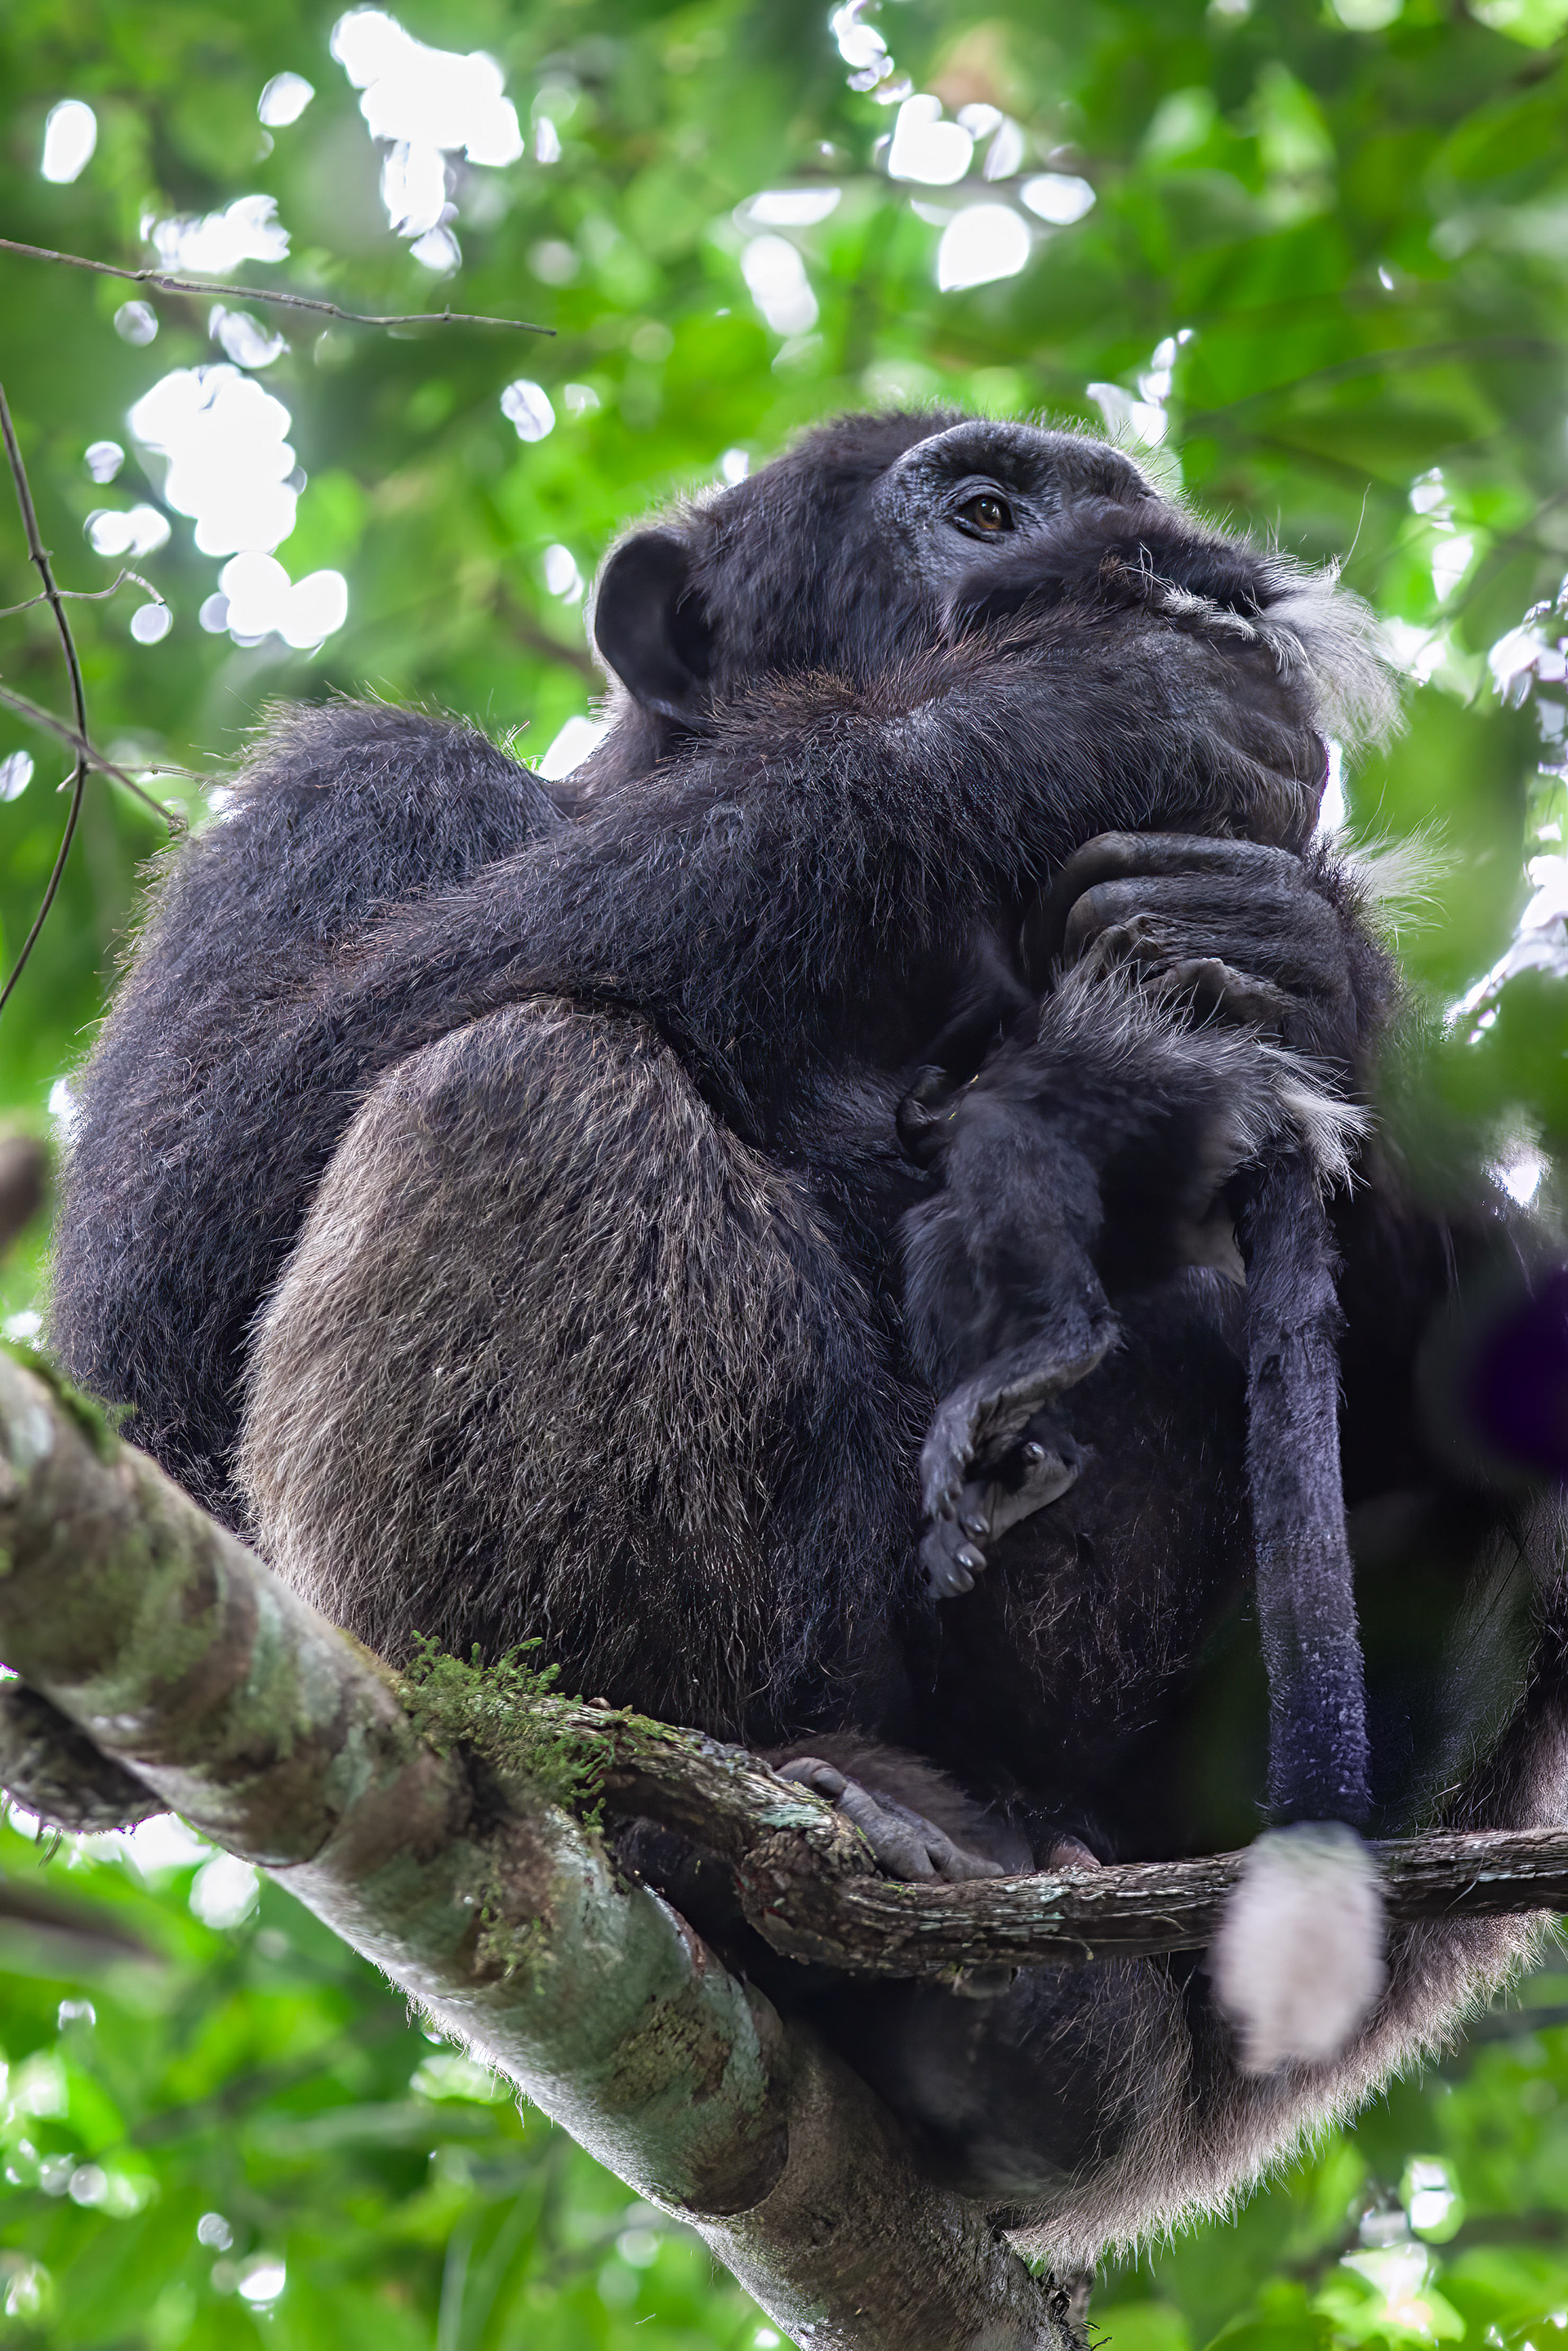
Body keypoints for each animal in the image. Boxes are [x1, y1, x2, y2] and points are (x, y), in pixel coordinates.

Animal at [44, 411, 1567, 2267]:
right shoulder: (346, 799)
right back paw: (712, 1819)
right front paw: (1063, 717)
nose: (1182, 579)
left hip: (1208, 2065)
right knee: (525, 1077)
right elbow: (152, 1312)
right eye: (982, 509)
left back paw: (1047, 2036)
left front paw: (1316, 958)